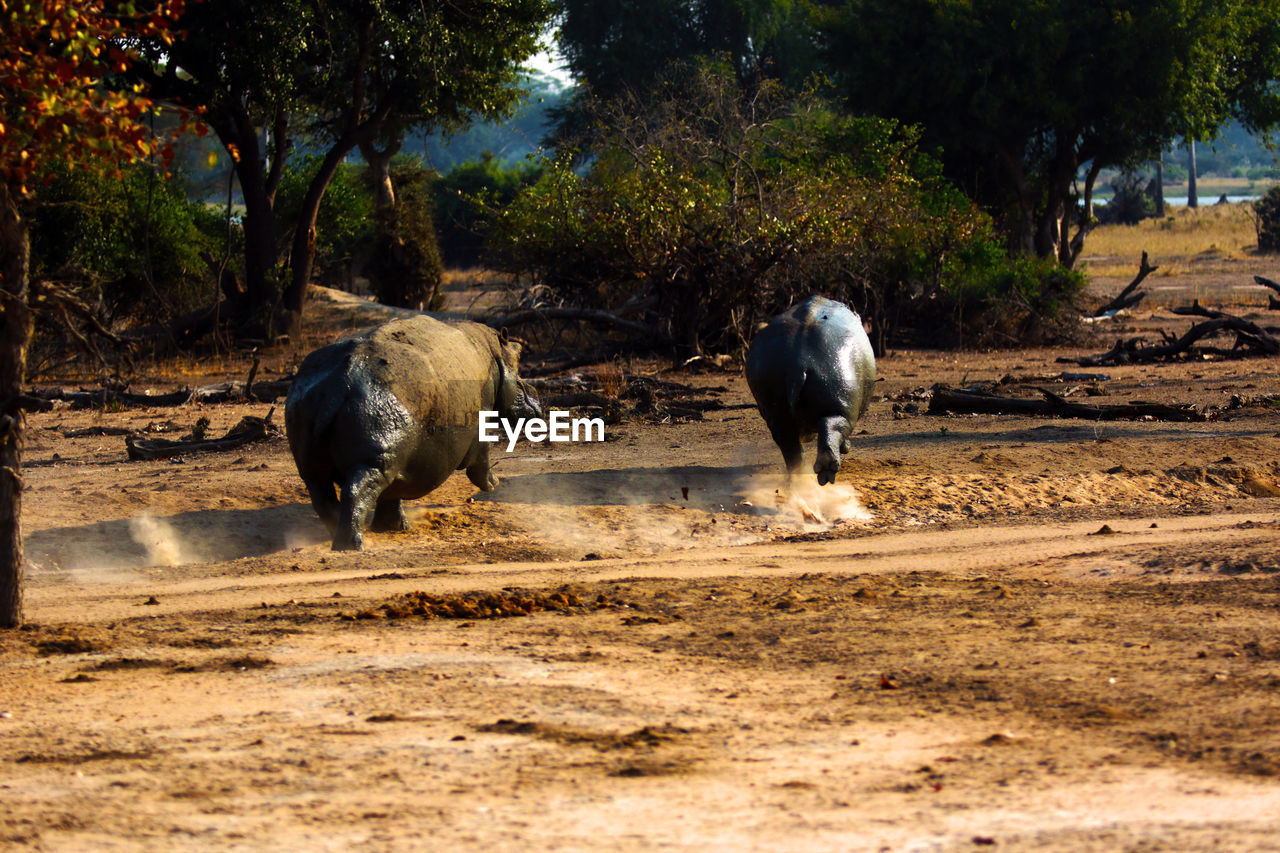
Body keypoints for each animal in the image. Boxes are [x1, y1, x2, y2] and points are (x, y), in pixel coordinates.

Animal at [282, 315, 537, 548]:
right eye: (518, 359)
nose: (535, 394)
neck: (495, 353)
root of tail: (340, 382)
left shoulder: (403, 461)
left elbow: (392, 495)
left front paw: (395, 528)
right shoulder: (481, 423)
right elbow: (482, 460)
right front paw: (494, 484)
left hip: (315, 460)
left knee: (323, 497)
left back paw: (339, 534)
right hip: (374, 460)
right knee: (354, 492)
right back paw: (353, 545)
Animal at [747, 297, 875, 484]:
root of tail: (798, 363)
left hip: (775, 411)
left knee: (789, 445)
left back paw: (800, 477)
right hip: (838, 404)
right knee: (833, 427)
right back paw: (826, 473)